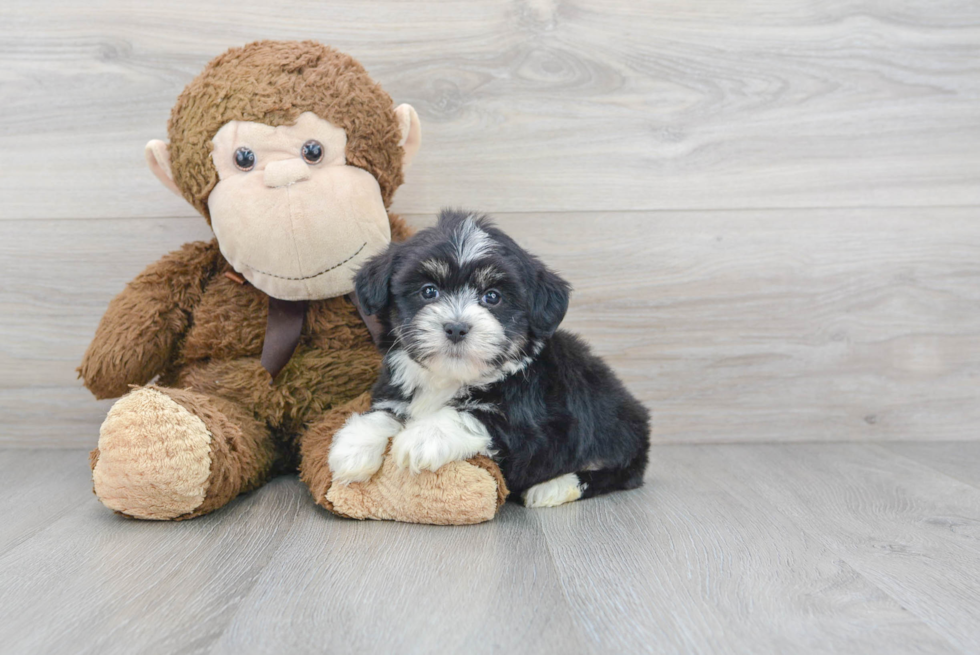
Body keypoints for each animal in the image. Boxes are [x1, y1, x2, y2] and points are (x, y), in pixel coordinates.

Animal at [330, 210, 652, 508]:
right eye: (428, 291)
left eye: (493, 297)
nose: (456, 327)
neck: (450, 378)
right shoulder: (394, 390)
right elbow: (383, 413)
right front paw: (352, 447)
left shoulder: (533, 428)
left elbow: (471, 415)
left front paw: (421, 437)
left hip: (616, 432)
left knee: (618, 473)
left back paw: (553, 488)